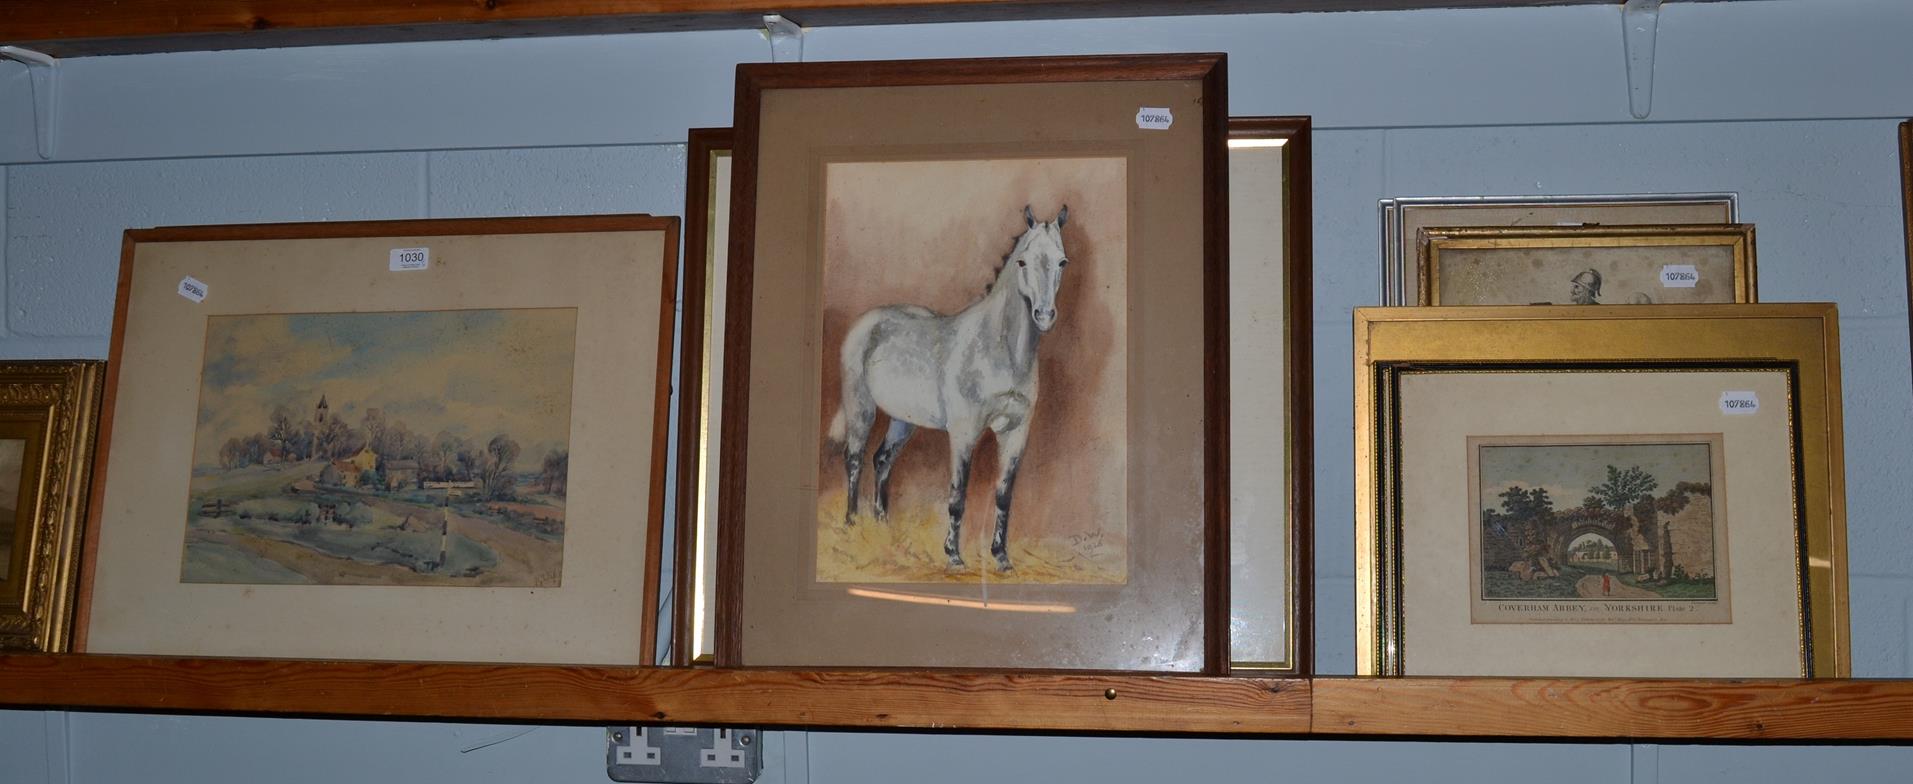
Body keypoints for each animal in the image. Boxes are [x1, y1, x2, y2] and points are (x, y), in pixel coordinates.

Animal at [826, 205, 1078, 573]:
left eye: (1062, 261)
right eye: (1022, 262)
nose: (1044, 315)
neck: (999, 350)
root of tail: (868, 321)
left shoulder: (1016, 432)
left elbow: (1004, 495)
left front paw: (1001, 557)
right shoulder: (963, 432)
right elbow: (958, 494)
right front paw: (954, 556)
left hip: (904, 419)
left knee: (882, 460)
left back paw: (882, 524)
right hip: (861, 407)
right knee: (855, 458)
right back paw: (851, 523)